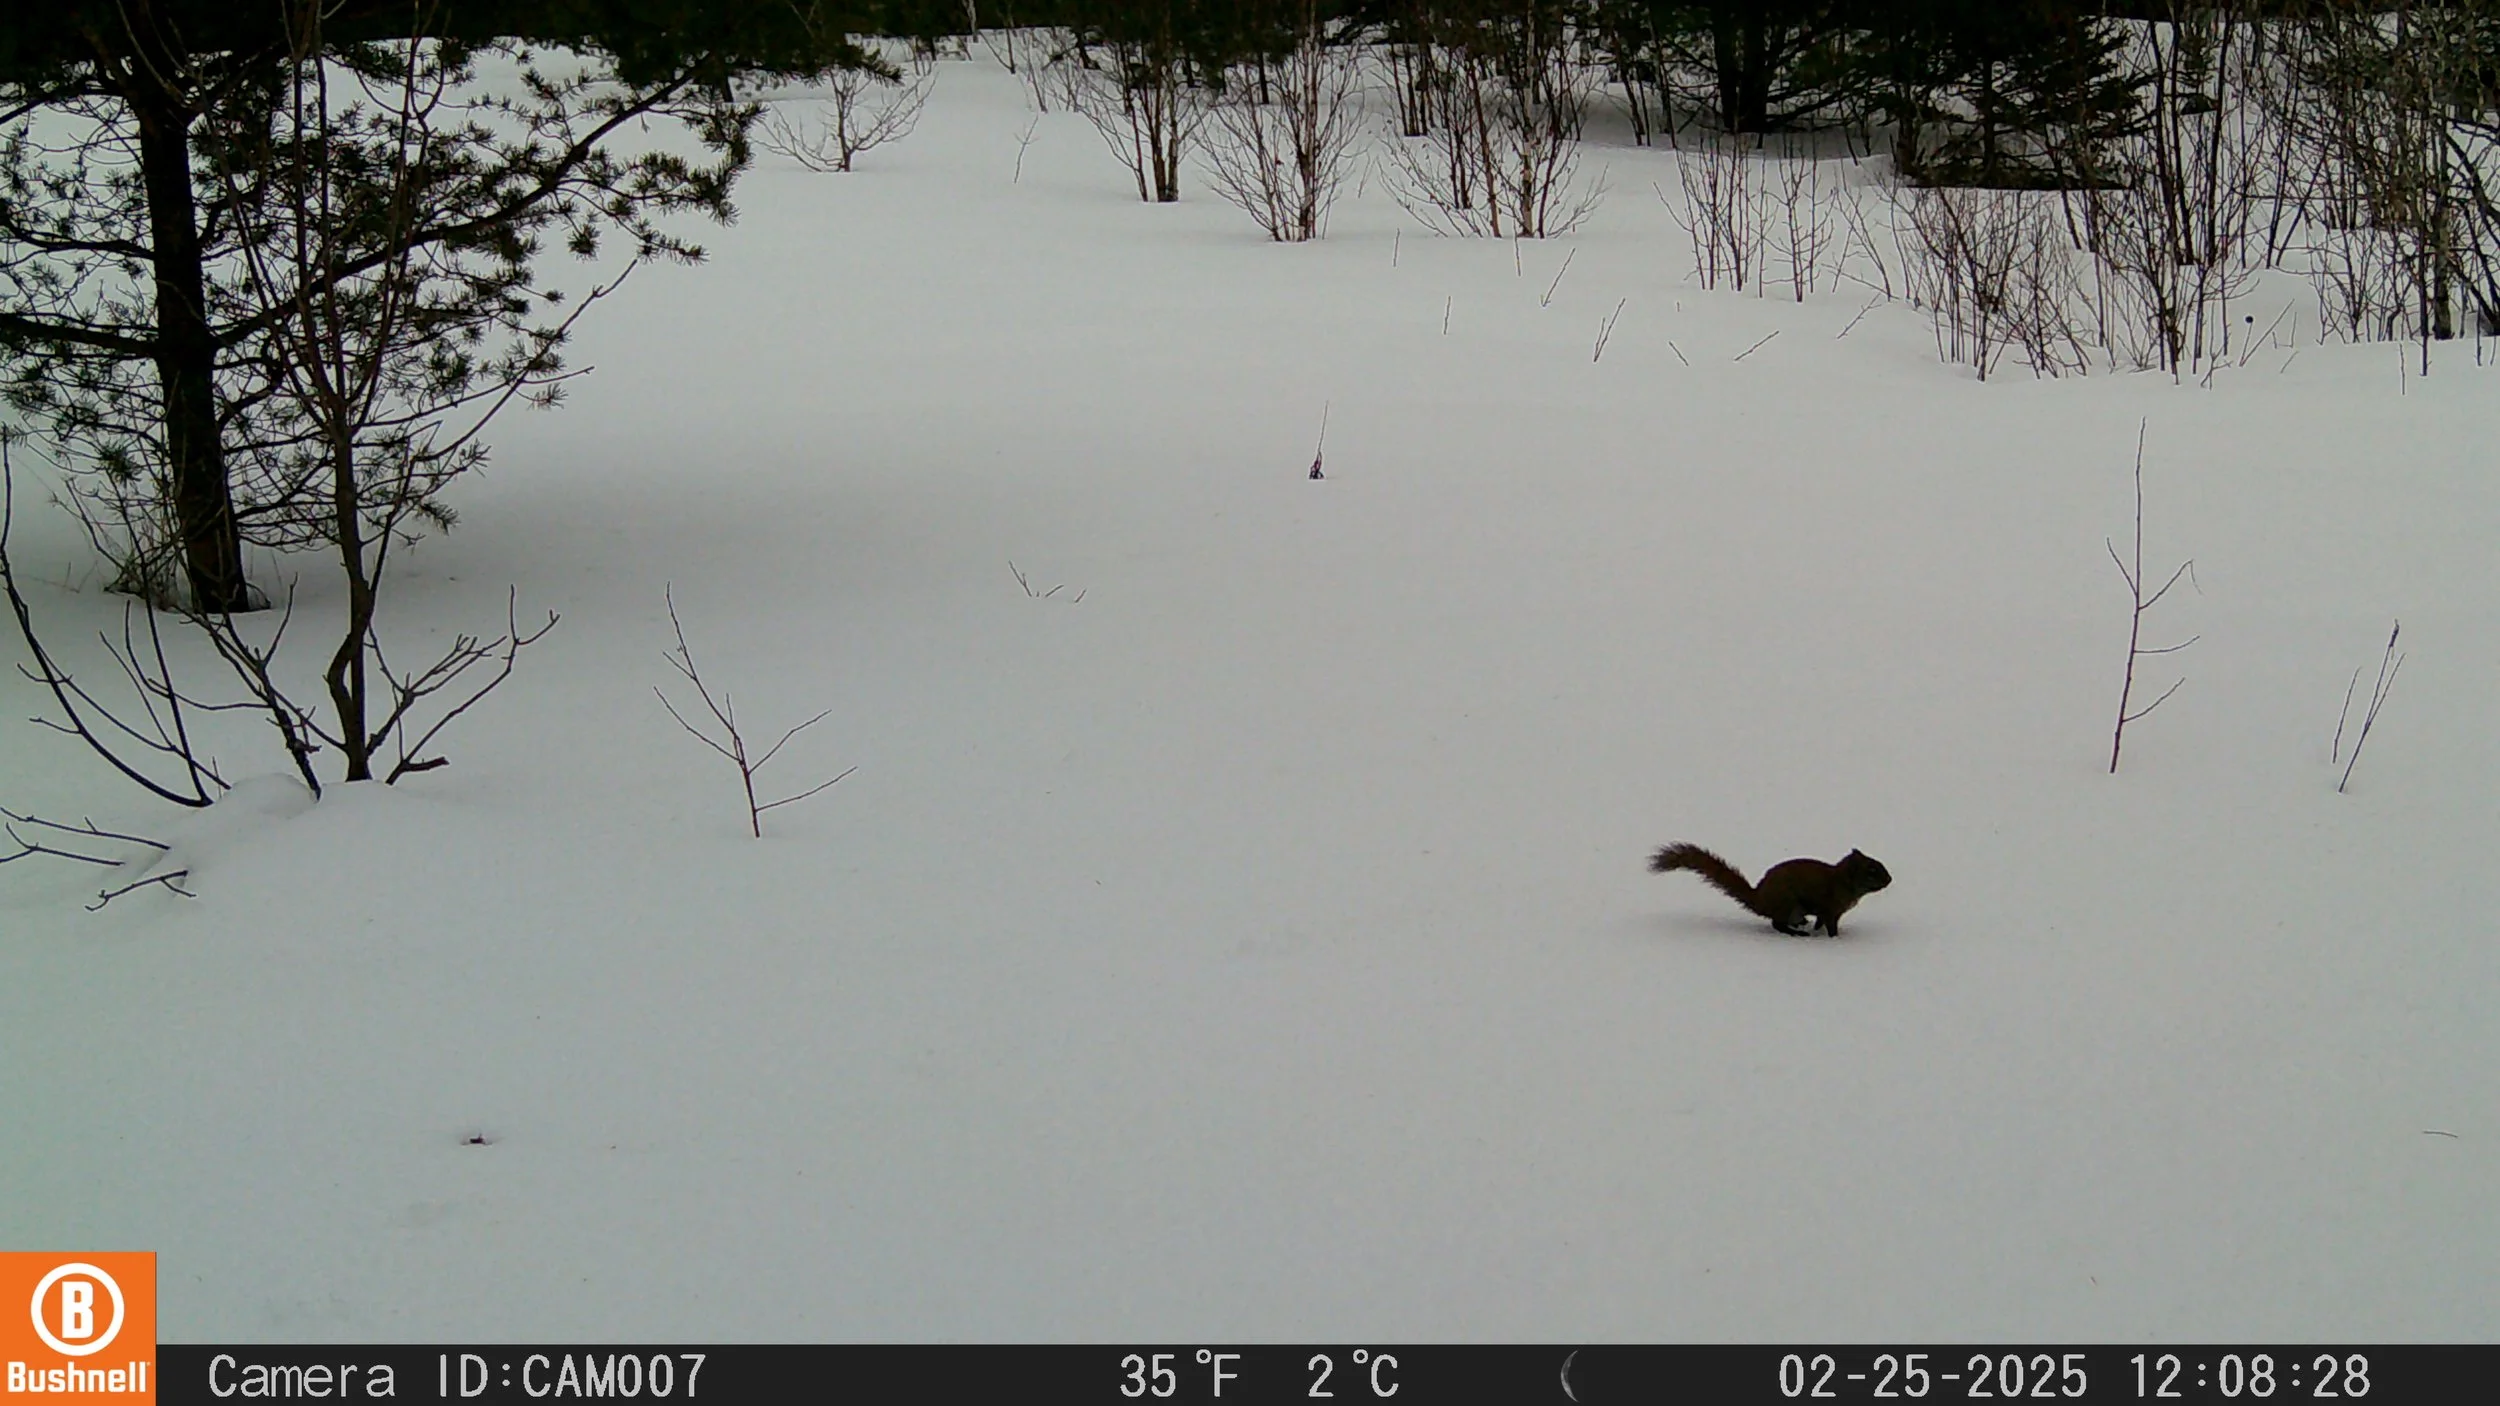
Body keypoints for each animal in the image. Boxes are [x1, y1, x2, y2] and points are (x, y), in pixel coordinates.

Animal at [1648, 842, 1891, 936]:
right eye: (1871, 870)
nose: (1890, 879)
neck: (1843, 881)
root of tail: (1760, 900)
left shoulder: (1828, 912)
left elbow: (1821, 922)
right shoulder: (1830, 909)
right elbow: (1830, 924)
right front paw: (1835, 939)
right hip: (1788, 905)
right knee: (1777, 924)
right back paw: (1796, 933)